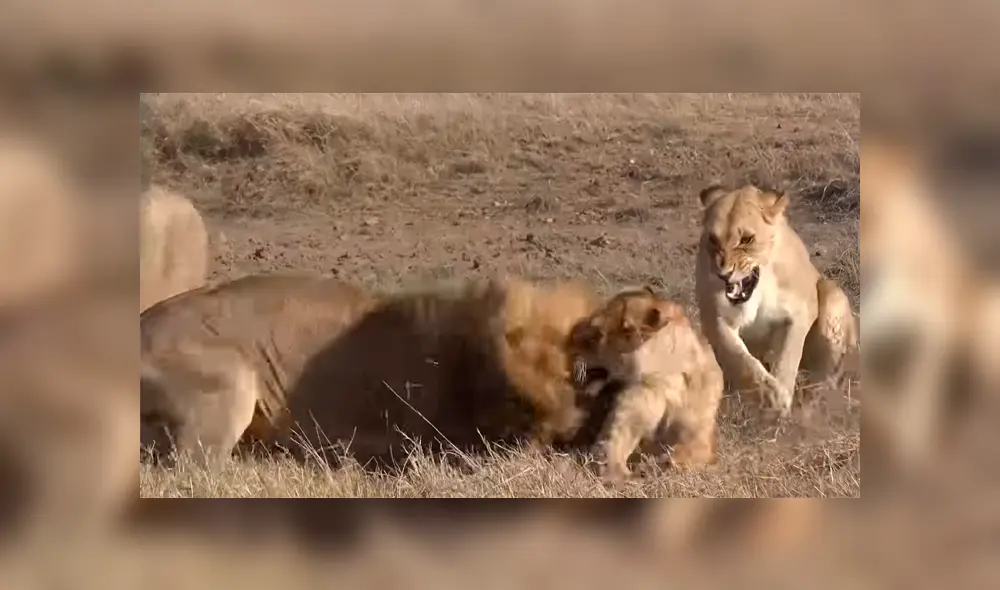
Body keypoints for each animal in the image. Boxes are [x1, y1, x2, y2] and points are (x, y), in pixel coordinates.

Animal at [566, 286, 723, 482]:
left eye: (596, 333)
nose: (570, 337)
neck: (668, 382)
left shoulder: (700, 437)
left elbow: (686, 454)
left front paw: (657, 466)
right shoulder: (628, 414)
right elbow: (610, 448)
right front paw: (624, 476)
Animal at [694, 184, 858, 418]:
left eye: (747, 239)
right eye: (713, 240)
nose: (724, 274)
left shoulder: (800, 312)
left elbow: (788, 356)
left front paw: (779, 400)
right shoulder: (714, 316)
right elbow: (740, 358)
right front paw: (771, 397)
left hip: (831, 293)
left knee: (830, 377)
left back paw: (815, 400)